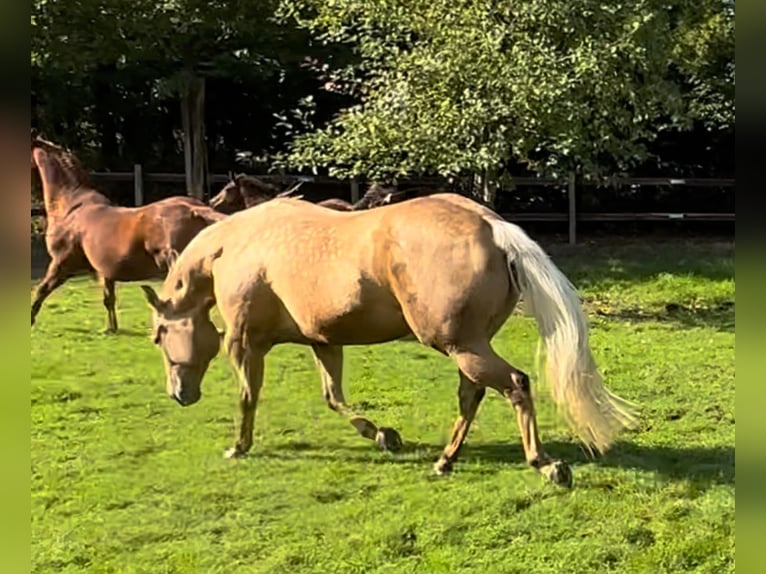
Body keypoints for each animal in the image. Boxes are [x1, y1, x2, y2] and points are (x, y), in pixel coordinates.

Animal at [31, 134, 227, 332]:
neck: (71, 206)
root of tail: (194, 209)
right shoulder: (104, 271)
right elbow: (108, 299)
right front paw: (111, 329)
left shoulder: (62, 263)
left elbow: (40, 290)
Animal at [141, 194, 637, 487]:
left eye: (160, 335)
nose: (179, 394)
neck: (237, 247)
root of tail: (491, 225)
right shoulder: (324, 342)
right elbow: (334, 397)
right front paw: (384, 435)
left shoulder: (245, 344)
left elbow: (248, 397)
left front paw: (238, 447)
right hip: (469, 346)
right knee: (472, 395)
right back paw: (444, 461)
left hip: (462, 346)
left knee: (514, 384)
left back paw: (546, 464)